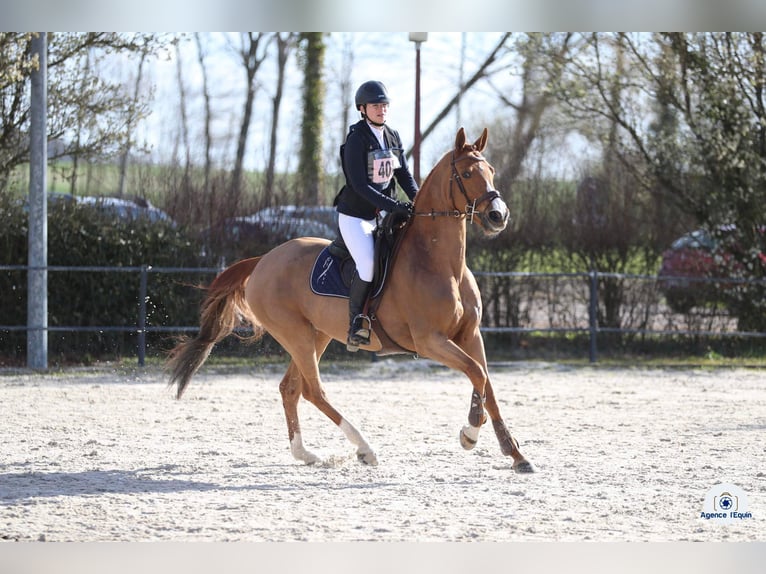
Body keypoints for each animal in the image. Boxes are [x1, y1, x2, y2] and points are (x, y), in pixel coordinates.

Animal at [168, 128, 536, 474]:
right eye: (468, 173)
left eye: (491, 170)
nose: (498, 216)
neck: (440, 262)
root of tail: (263, 260)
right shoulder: (429, 340)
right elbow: (476, 372)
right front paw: (470, 433)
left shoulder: (469, 335)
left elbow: (485, 380)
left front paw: (514, 453)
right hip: (296, 335)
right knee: (313, 391)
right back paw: (364, 448)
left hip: (316, 334)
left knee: (291, 388)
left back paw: (306, 454)